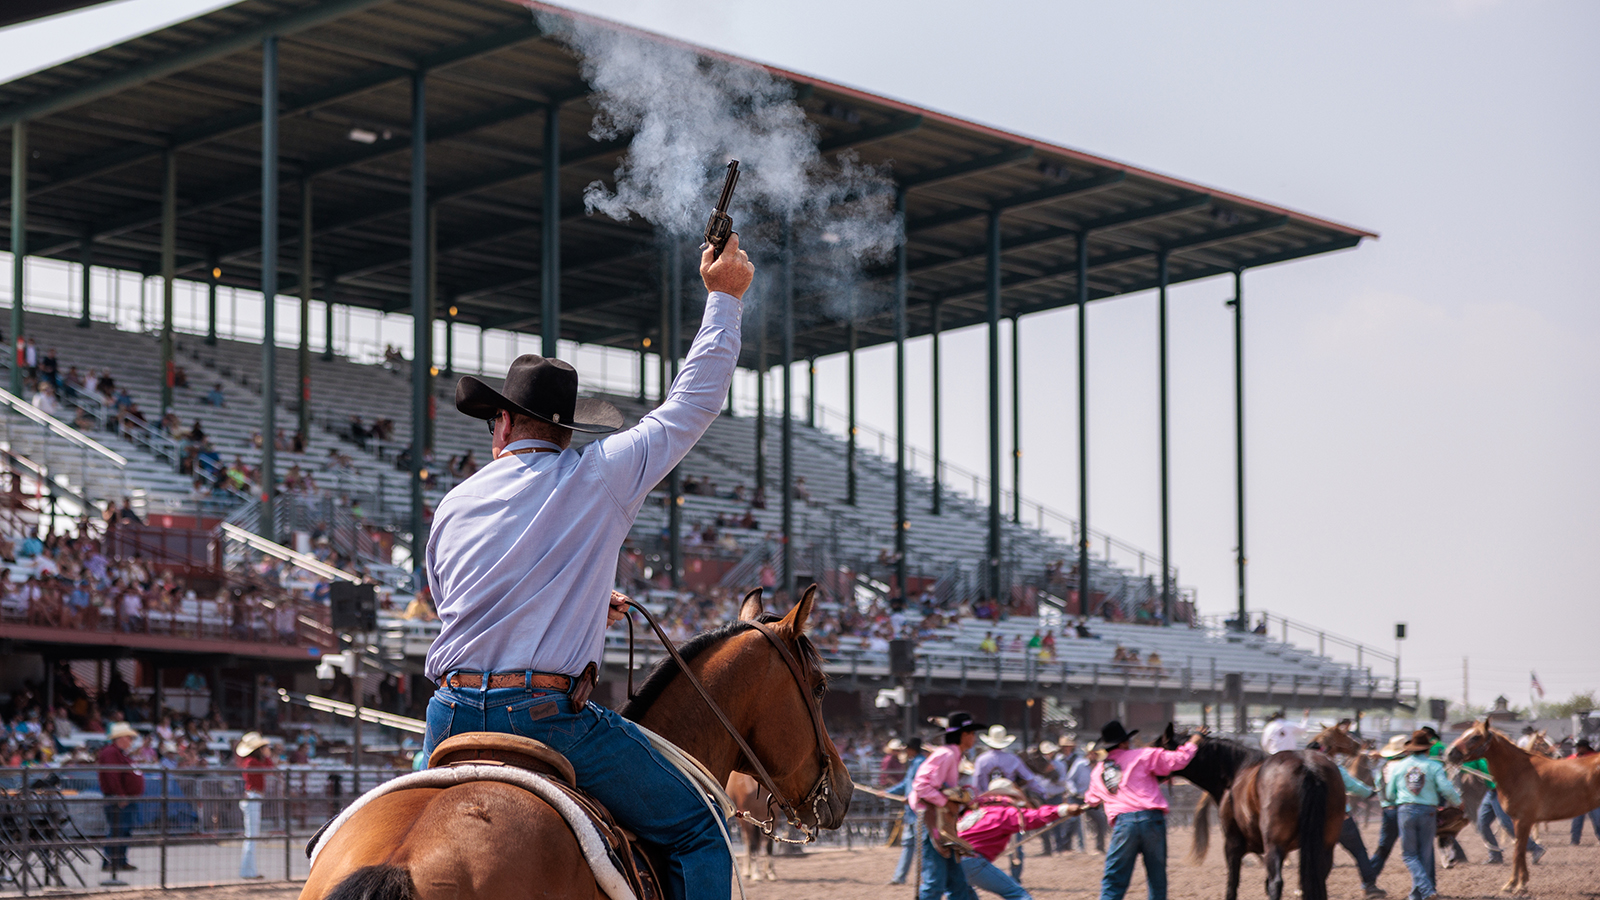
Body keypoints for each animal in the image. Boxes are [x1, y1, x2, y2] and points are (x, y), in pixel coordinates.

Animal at [1164, 717, 1350, 896]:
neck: (1236, 770)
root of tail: (1309, 768)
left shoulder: (1233, 843)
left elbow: (1232, 884)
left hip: (1274, 844)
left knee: (1276, 882)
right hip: (1324, 845)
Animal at [1452, 714, 1600, 890]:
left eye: (1475, 736)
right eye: (1465, 733)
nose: (1450, 753)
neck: (1519, 771)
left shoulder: (1522, 820)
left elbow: (1518, 851)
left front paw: (1515, 884)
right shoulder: (1522, 821)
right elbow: (1520, 849)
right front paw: (1520, 882)